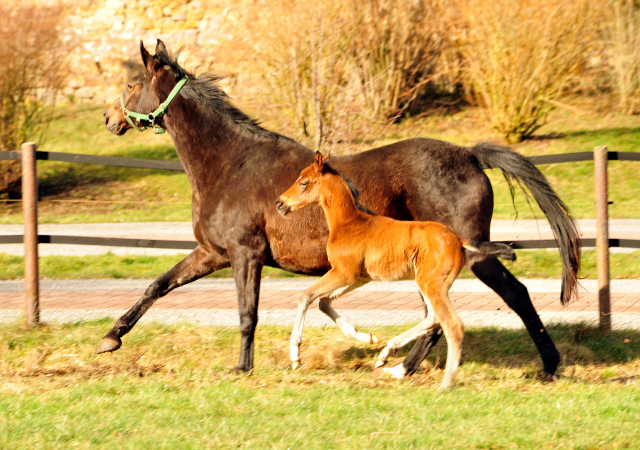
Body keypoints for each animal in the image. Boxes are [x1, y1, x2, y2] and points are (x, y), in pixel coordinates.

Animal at [276, 153, 516, 388]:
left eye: (304, 182)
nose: (280, 203)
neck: (349, 223)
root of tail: (458, 239)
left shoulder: (344, 272)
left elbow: (305, 296)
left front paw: (295, 355)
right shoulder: (359, 277)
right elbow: (323, 302)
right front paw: (367, 338)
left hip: (429, 283)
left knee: (451, 324)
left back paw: (445, 384)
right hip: (429, 283)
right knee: (433, 318)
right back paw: (385, 354)